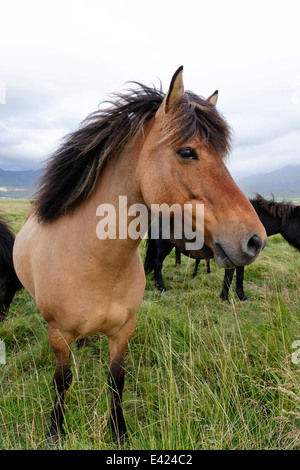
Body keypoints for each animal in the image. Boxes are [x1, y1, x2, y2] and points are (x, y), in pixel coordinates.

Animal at [12, 66, 268, 444]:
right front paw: (56, 431)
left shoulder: (123, 331)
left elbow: (116, 382)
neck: (94, 263)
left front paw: (120, 432)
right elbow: (62, 382)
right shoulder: (57, 335)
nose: (254, 240)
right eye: (187, 152)